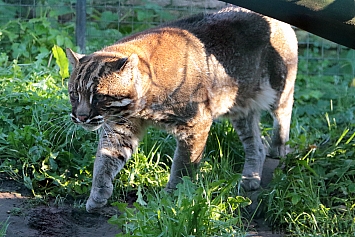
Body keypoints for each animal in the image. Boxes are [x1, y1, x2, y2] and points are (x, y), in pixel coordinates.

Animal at [66, 6, 298, 212]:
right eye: (74, 94)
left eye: (99, 97)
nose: (81, 117)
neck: (139, 106)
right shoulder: (121, 127)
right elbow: (104, 159)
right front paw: (97, 193)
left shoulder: (196, 123)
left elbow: (184, 164)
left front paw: (173, 197)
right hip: (240, 108)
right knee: (256, 144)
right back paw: (251, 177)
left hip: (280, 87)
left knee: (284, 112)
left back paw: (278, 147)